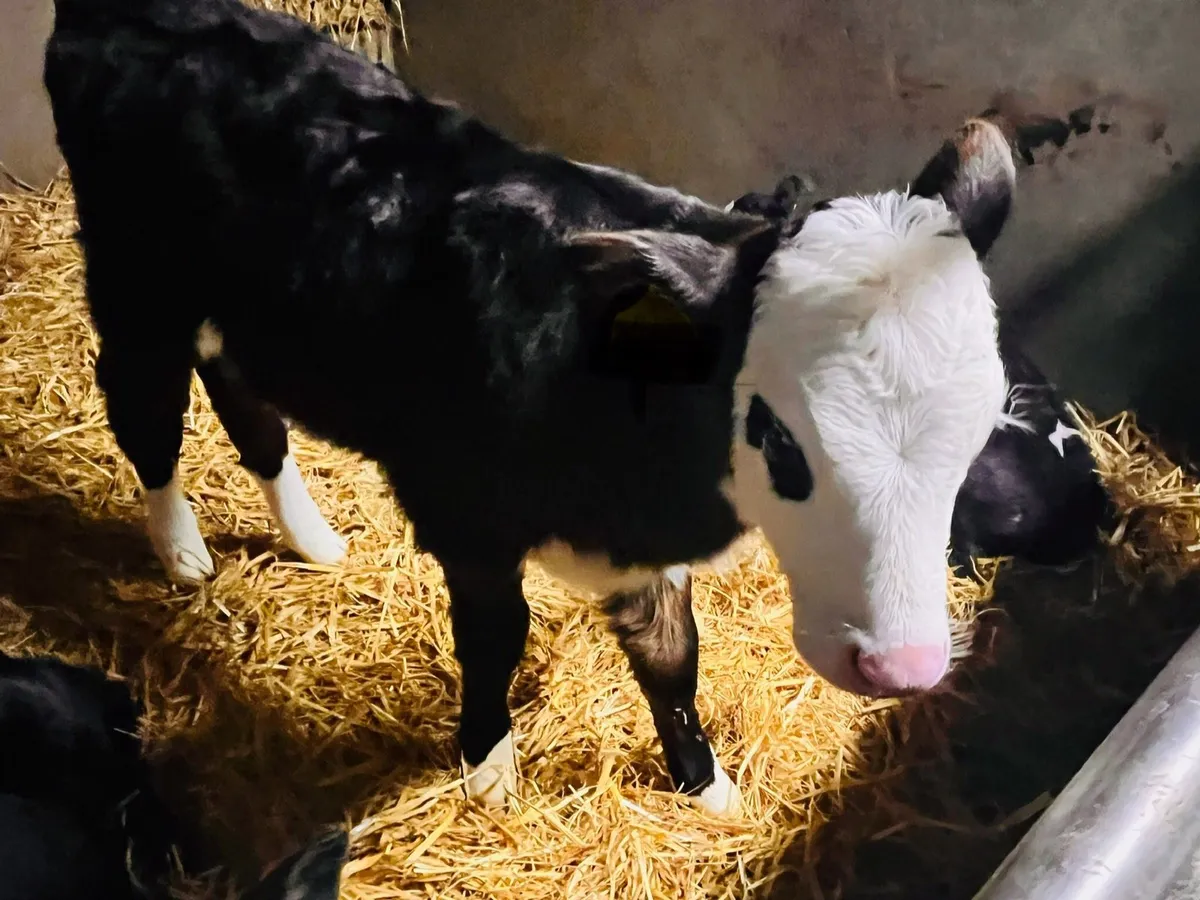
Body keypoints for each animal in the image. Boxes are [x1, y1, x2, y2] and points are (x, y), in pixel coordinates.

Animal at [44, 0, 1016, 815]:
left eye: (974, 439)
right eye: (779, 437)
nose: (904, 666)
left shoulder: (634, 544)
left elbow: (674, 659)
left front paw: (707, 789)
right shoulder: (466, 516)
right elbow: (495, 640)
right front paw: (488, 769)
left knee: (244, 397)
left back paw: (312, 538)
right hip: (135, 279)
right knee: (143, 403)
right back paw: (181, 551)